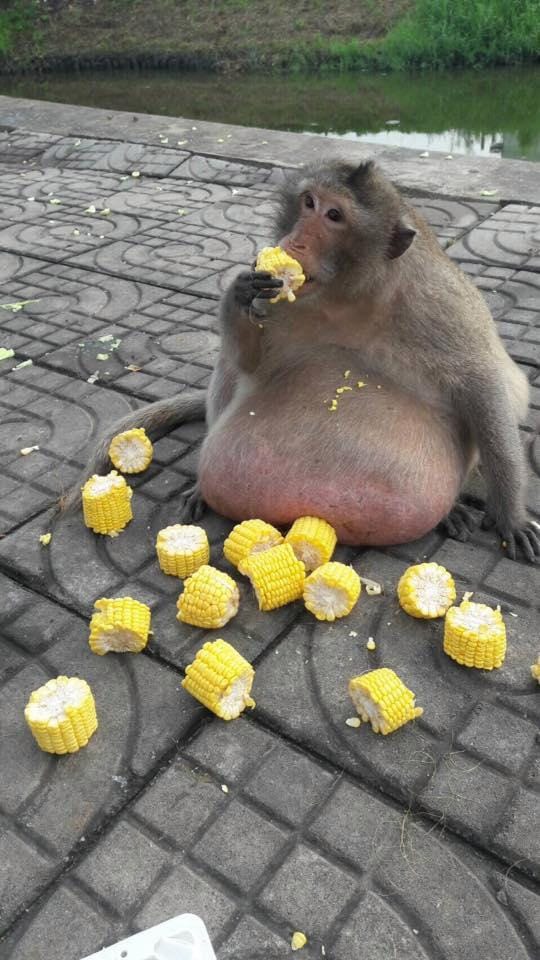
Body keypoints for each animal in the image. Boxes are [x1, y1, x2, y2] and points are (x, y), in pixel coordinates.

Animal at [68, 159, 539, 563]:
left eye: (334, 215)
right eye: (308, 203)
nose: (294, 242)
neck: (346, 294)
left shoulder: (436, 302)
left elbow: (482, 383)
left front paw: (511, 516)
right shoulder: (277, 298)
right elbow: (247, 361)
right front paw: (239, 293)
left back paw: (452, 508)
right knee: (228, 366)